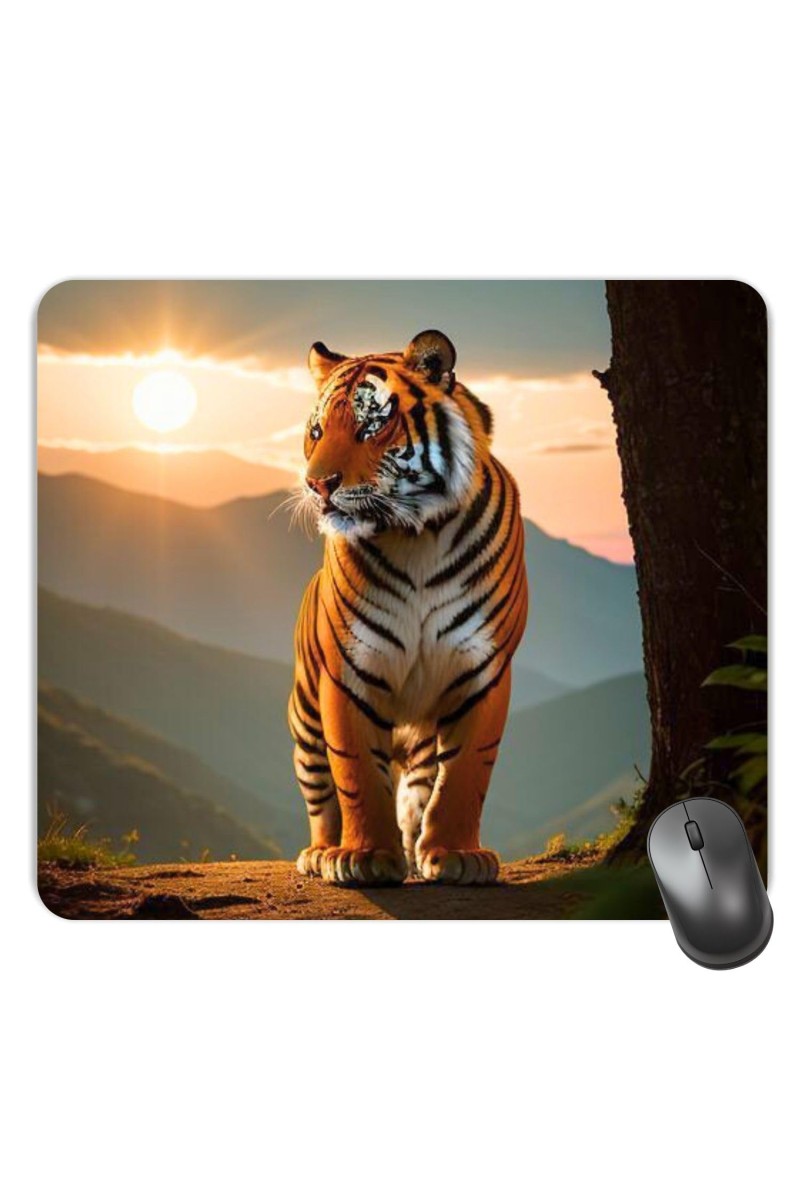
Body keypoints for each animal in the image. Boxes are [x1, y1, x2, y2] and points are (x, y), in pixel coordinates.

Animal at [287, 329, 528, 886]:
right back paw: (321, 851)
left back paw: (417, 853)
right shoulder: (347, 673)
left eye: (371, 424)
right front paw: (364, 857)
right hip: (305, 717)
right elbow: (354, 770)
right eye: (316, 431)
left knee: (418, 787)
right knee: (320, 793)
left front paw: (457, 855)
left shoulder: (483, 668)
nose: (316, 484)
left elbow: (464, 772)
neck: (417, 534)